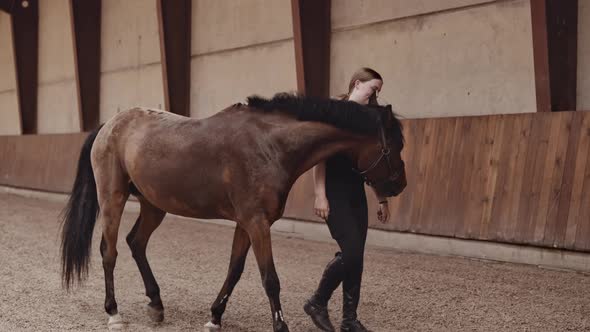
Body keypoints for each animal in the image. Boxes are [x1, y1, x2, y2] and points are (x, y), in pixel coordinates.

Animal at [61, 93, 408, 332]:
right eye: (394, 146)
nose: (399, 185)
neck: (270, 144)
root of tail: (109, 126)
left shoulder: (246, 223)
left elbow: (235, 270)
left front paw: (215, 317)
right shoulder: (257, 223)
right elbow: (270, 278)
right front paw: (280, 325)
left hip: (153, 204)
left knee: (136, 243)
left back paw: (156, 304)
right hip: (113, 198)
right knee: (109, 251)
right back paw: (114, 313)